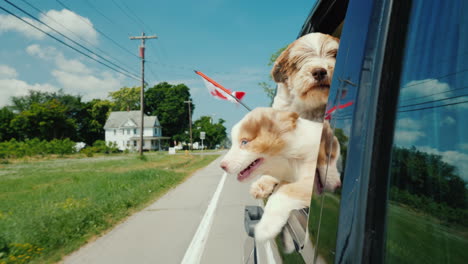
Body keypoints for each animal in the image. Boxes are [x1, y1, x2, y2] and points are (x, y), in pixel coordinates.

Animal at [219, 106, 340, 241]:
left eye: (244, 142)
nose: (222, 166)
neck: (290, 157)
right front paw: (260, 186)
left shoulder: (309, 182)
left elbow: (285, 190)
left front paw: (265, 227)